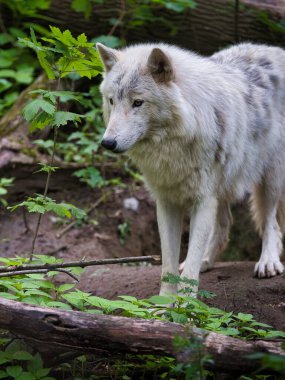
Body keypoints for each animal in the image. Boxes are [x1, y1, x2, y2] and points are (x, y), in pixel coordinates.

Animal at [96, 41, 284, 296]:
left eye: (138, 102)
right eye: (112, 101)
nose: (107, 143)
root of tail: (275, 50)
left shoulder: (202, 202)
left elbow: (190, 271)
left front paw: (186, 307)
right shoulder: (167, 203)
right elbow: (168, 266)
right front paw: (164, 304)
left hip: (270, 179)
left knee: (270, 222)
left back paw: (268, 261)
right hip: (222, 188)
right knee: (224, 225)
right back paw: (208, 260)